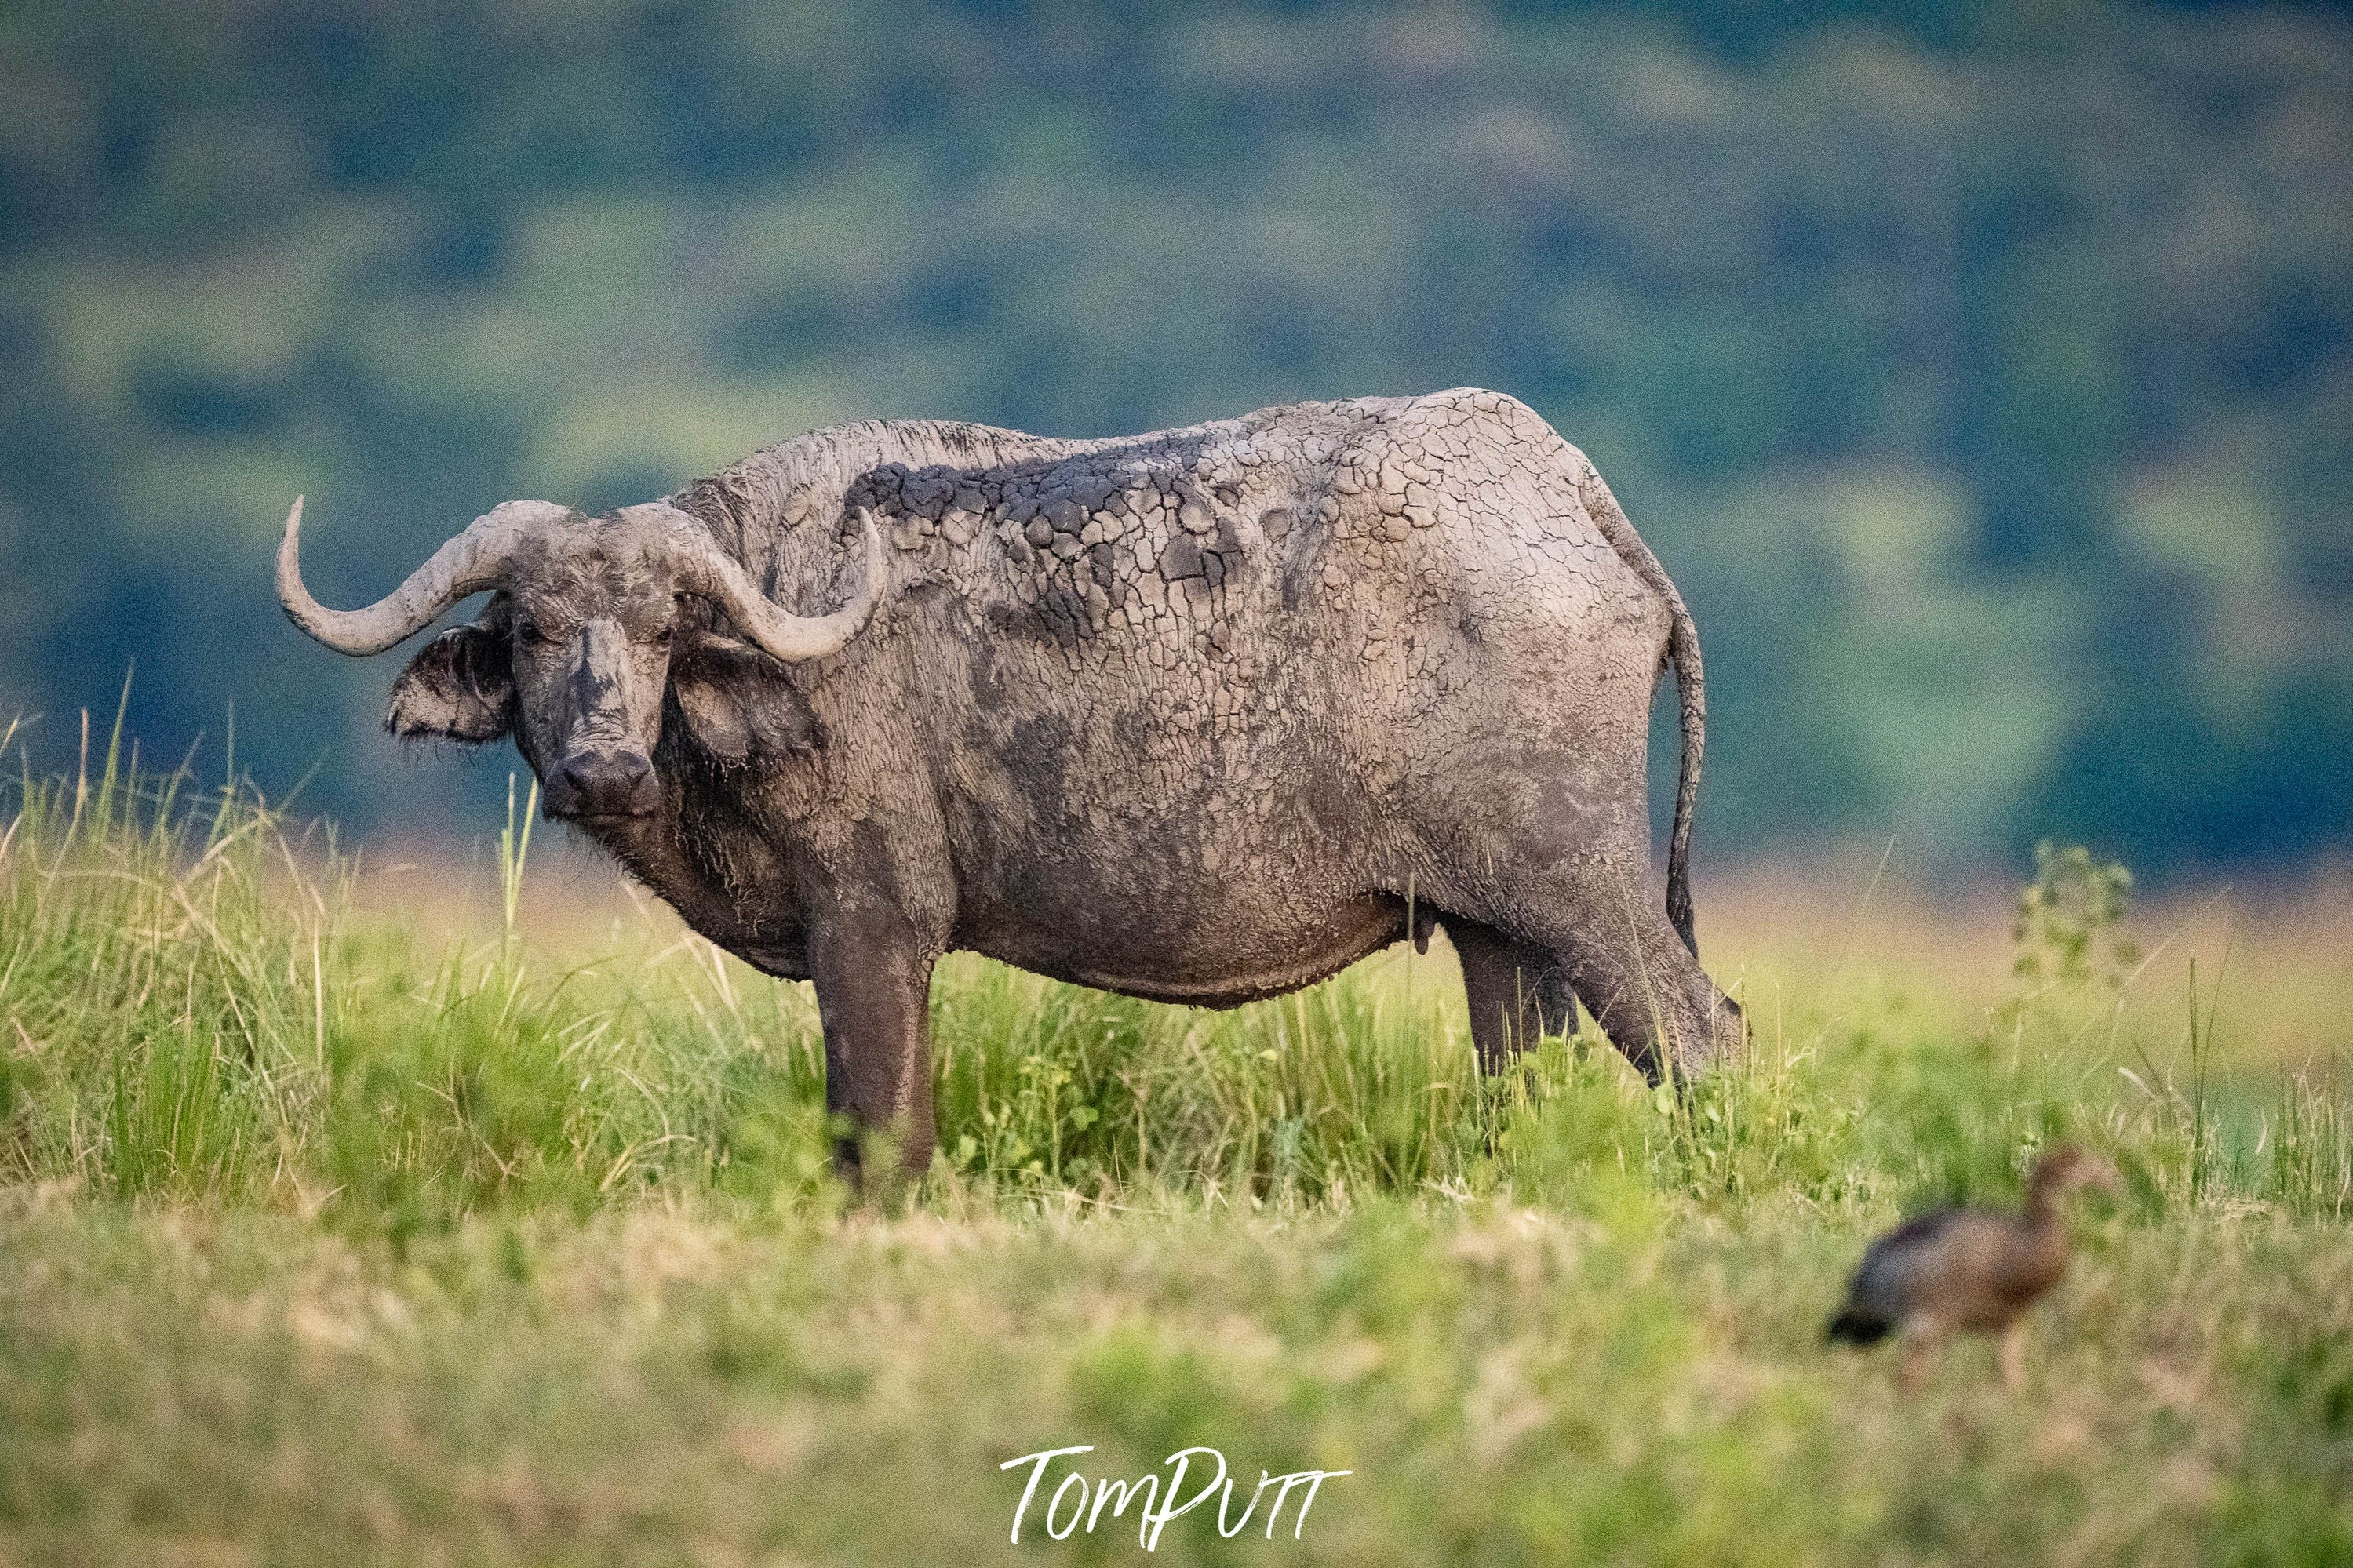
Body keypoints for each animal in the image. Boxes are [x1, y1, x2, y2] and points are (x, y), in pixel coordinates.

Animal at [279, 390, 1750, 1175]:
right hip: (1496, 933)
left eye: (658, 628)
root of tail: (1566, 488)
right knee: (1524, 1088)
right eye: (532, 628)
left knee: (1702, 1037)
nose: (599, 762)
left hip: (1585, 894)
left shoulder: (871, 924)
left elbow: (881, 1130)